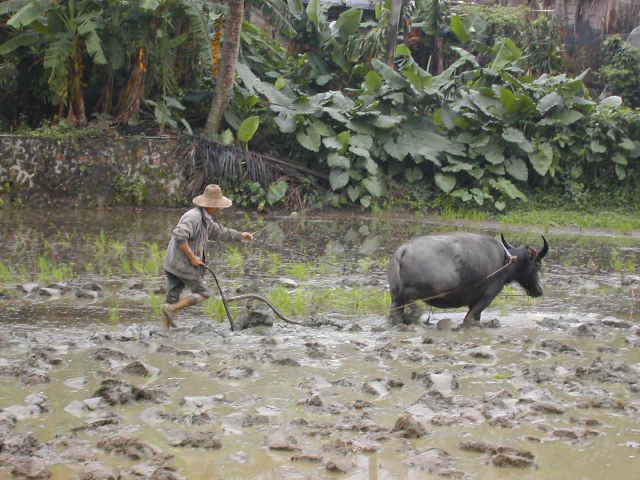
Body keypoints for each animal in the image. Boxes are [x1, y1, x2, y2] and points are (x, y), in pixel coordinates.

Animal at [388, 232, 548, 326]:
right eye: (537, 264)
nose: (539, 290)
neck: (506, 260)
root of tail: (402, 251)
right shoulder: (487, 297)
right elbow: (469, 319)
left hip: (395, 297)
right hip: (417, 292)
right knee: (410, 302)